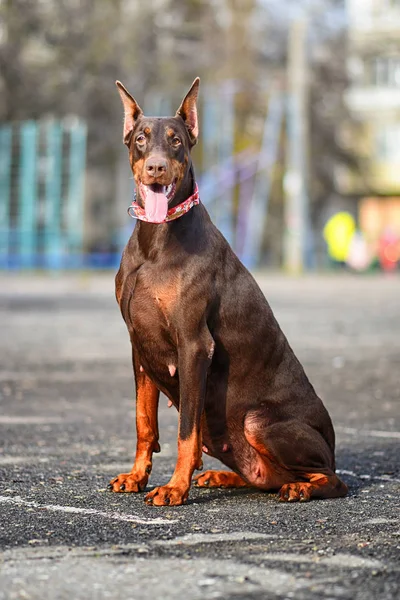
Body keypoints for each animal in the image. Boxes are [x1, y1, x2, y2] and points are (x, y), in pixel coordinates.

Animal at [108, 77, 346, 504]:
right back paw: (224, 477)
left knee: (332, 478)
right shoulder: (139, 346)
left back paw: (301, 487)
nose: (156, 168)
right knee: (265, 477)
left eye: (176, 141)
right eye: (140, 138)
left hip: (260, 421)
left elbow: (186, 430)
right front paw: (136, 477)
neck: (155, 242)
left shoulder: (193, 345)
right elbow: (143, 422)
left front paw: (174, 487)